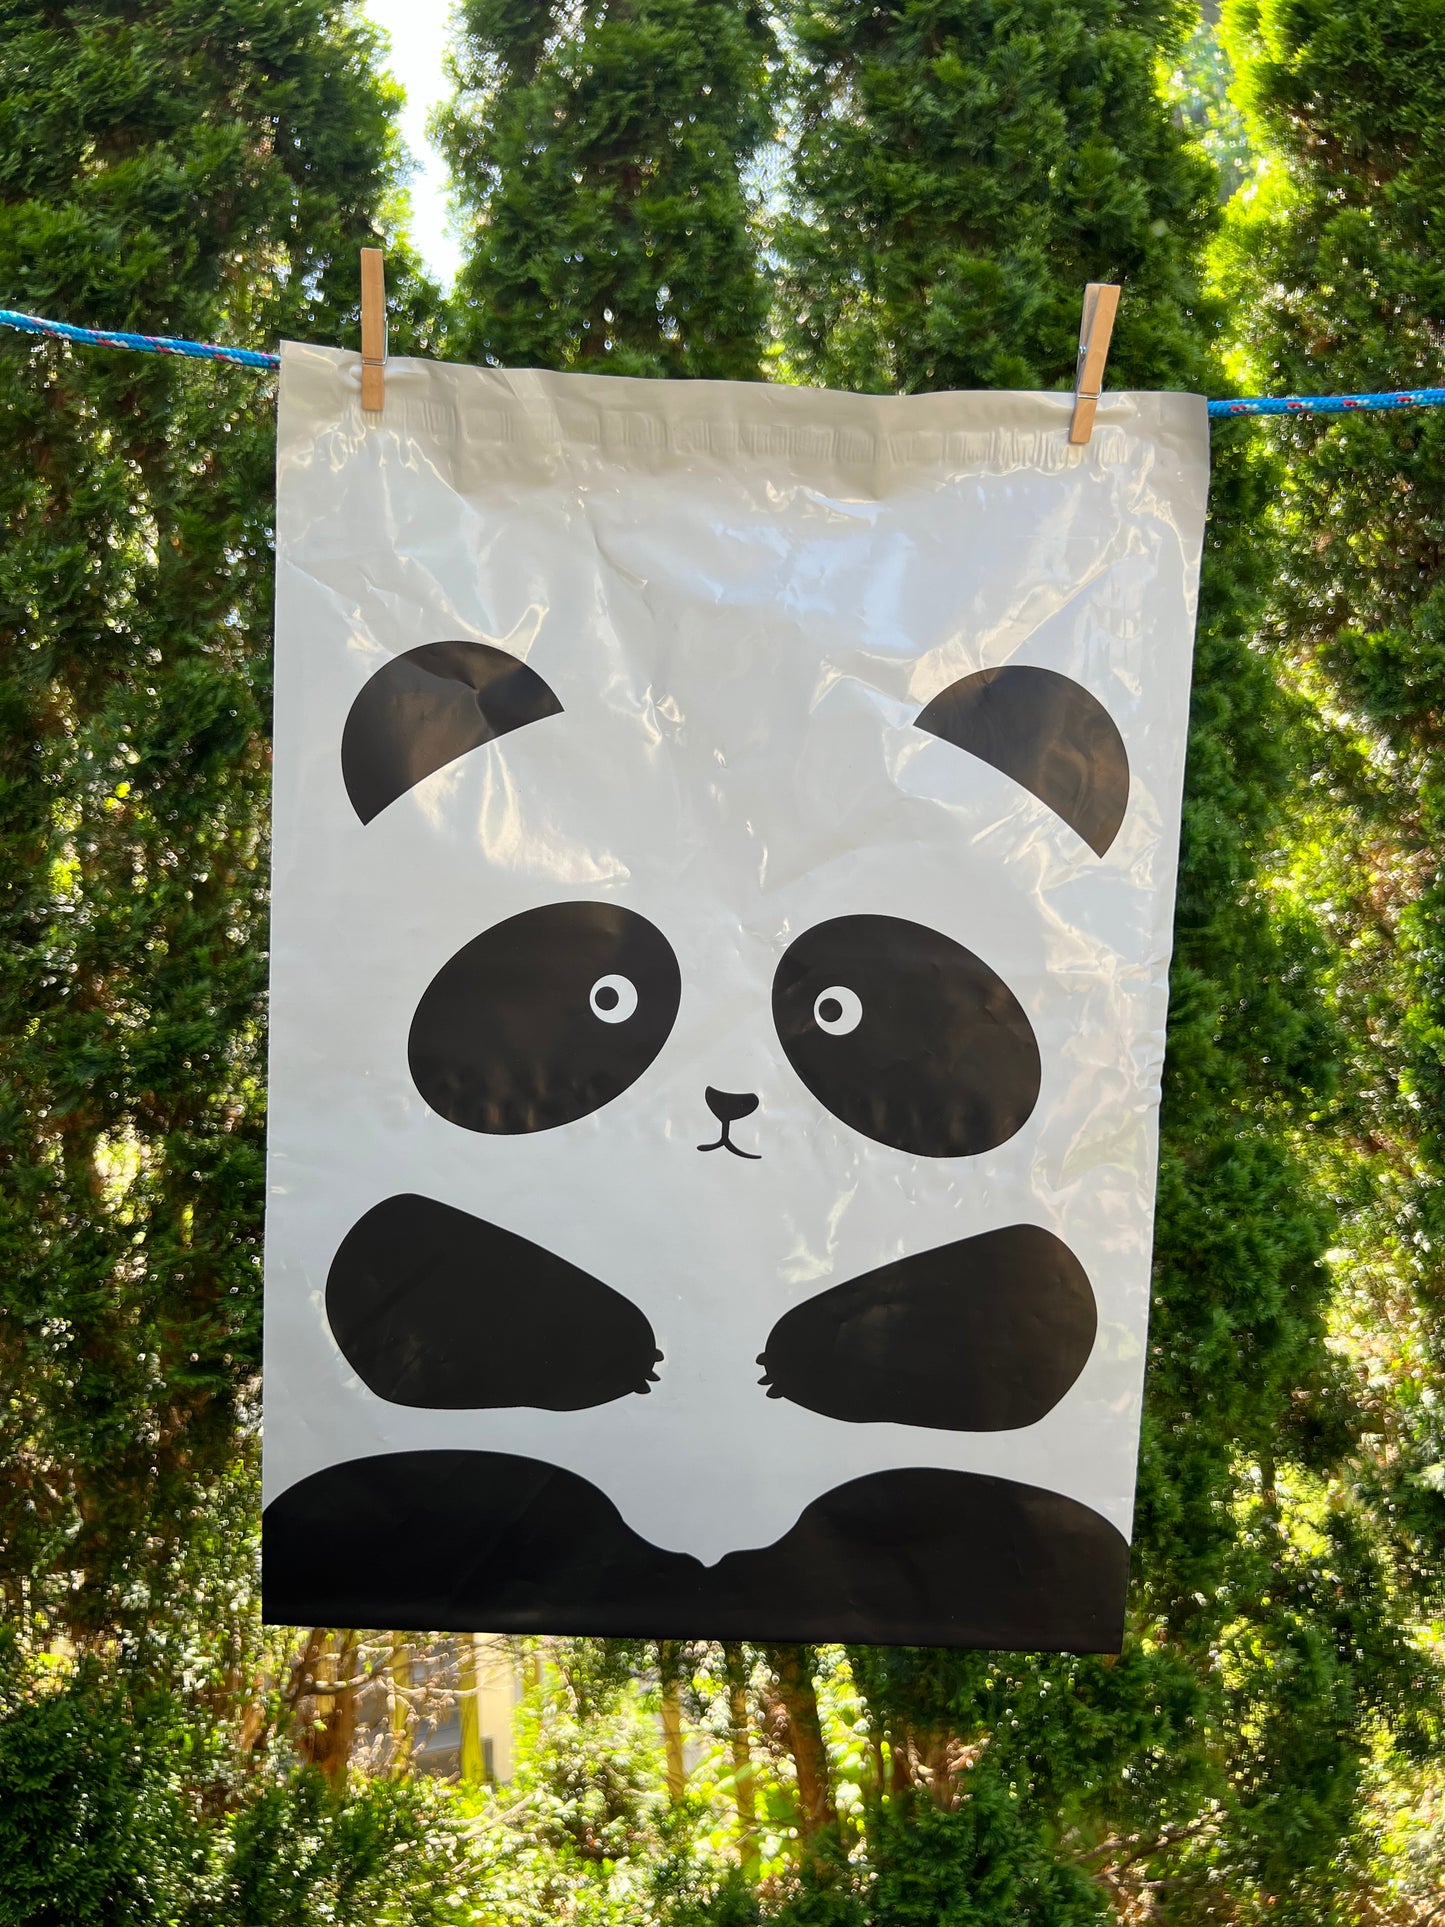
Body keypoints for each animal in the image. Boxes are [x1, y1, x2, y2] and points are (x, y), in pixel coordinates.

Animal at [261, 352, 1202, 1652]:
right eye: (606, 993)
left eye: (840, 1006)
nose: (727, 1099)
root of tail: (704, 1560)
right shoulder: (407, 1185)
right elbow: (400, 1267)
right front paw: (625, 1347)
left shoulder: (1017, 1226)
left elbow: (1033, 1303)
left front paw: (795, 1357)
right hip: (423, 1484)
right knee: (417, 1487)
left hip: (976, 1506)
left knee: (965, 1506)